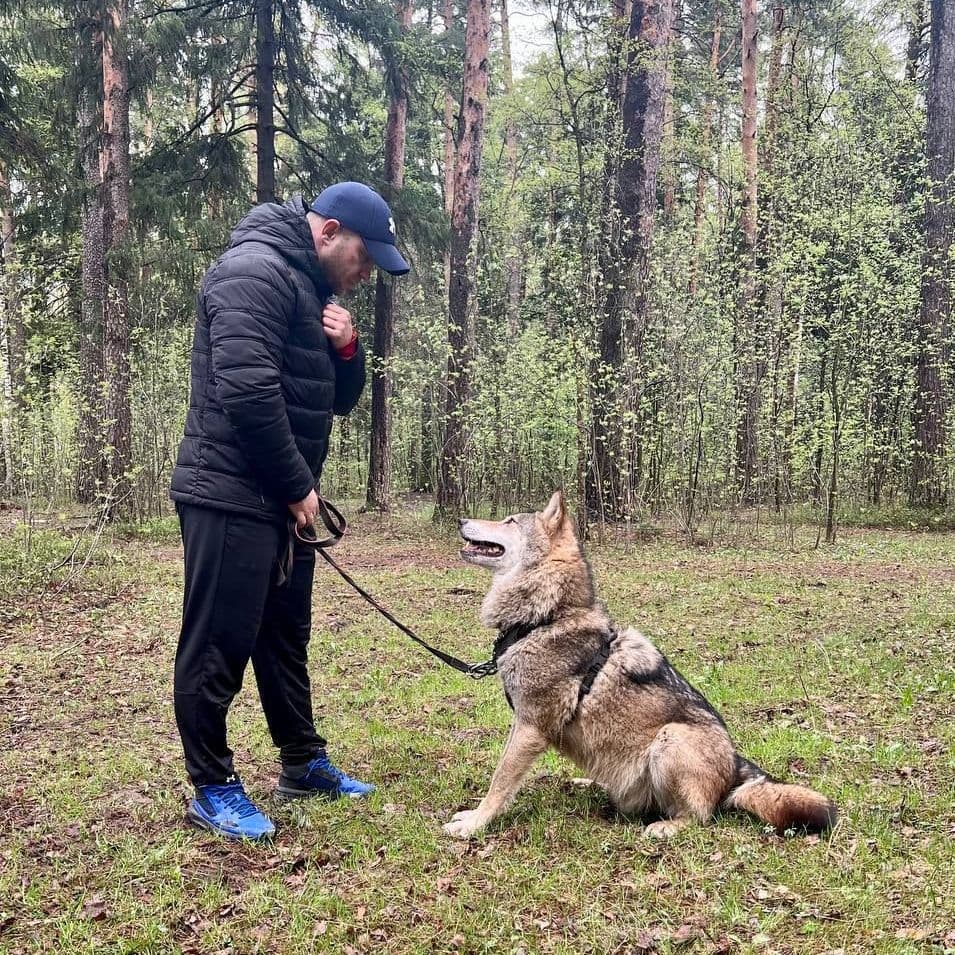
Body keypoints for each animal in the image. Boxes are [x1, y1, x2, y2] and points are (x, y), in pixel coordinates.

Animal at [442, 490, 836, 840]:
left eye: (509, 521)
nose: (459, 519)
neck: (547, 616)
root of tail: (735, 771)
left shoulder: (530, 727)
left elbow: (500, 782)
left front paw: (474, 824)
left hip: (670, 738)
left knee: (701, 817)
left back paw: (666, 827)